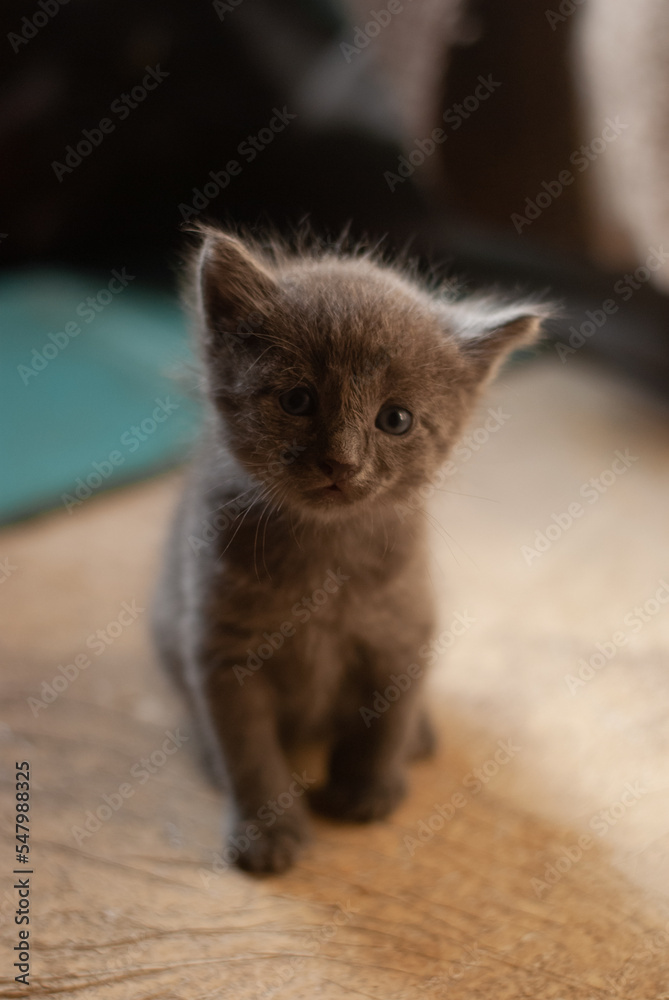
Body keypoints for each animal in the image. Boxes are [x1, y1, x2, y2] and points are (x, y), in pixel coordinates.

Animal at [151, 229, 544, 876]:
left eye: (396, 419)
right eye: (297, 400)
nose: (342, 462)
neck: (325, 564)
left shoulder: (402, 631)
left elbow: (385, 721)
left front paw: (367, 791)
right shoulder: (222, 649)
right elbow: (249, 751)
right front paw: (269, 833)